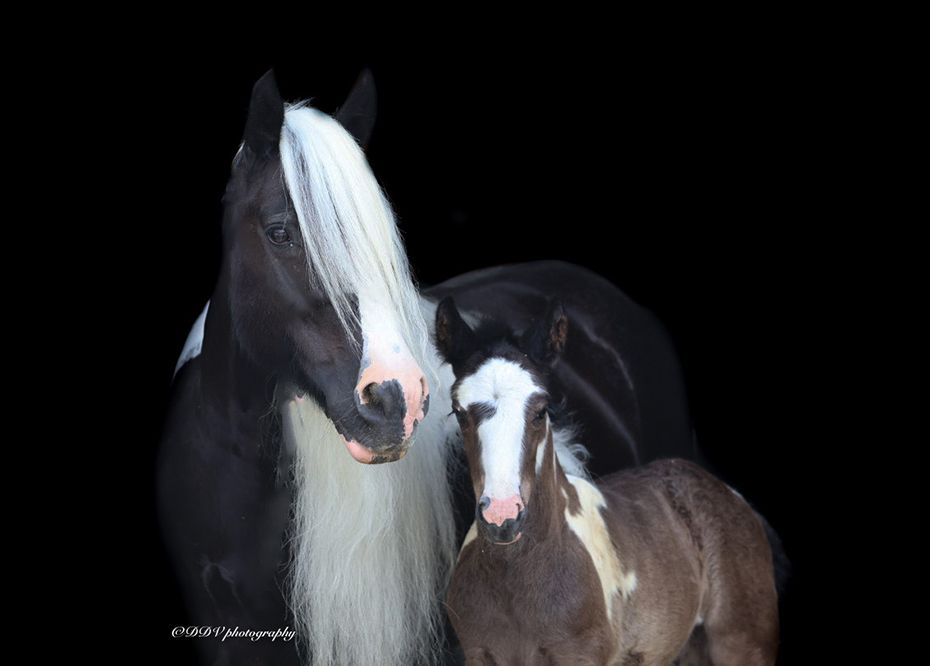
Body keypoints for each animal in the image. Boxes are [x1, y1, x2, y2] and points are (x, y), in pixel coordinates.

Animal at [435, 296, 780, 665]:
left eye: (540, 411)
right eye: (459, 412)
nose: (502, 517)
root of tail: (727, 492)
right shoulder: (478, 654)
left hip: (744, 642)